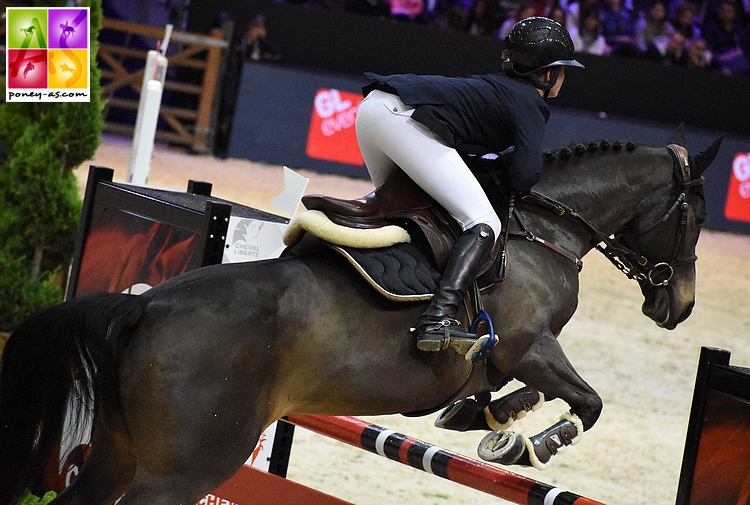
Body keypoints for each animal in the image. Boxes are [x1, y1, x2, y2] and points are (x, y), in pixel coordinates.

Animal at [0, 131, 724, 504]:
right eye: (694, 216)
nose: (680, 306)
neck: (544, 231)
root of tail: (146, 303)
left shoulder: (508, 357)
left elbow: (498, 397)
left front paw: (489, 419)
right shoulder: (528, 344)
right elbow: (586, 400)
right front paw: (525, 442)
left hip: (113, 458)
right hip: (178, 473)